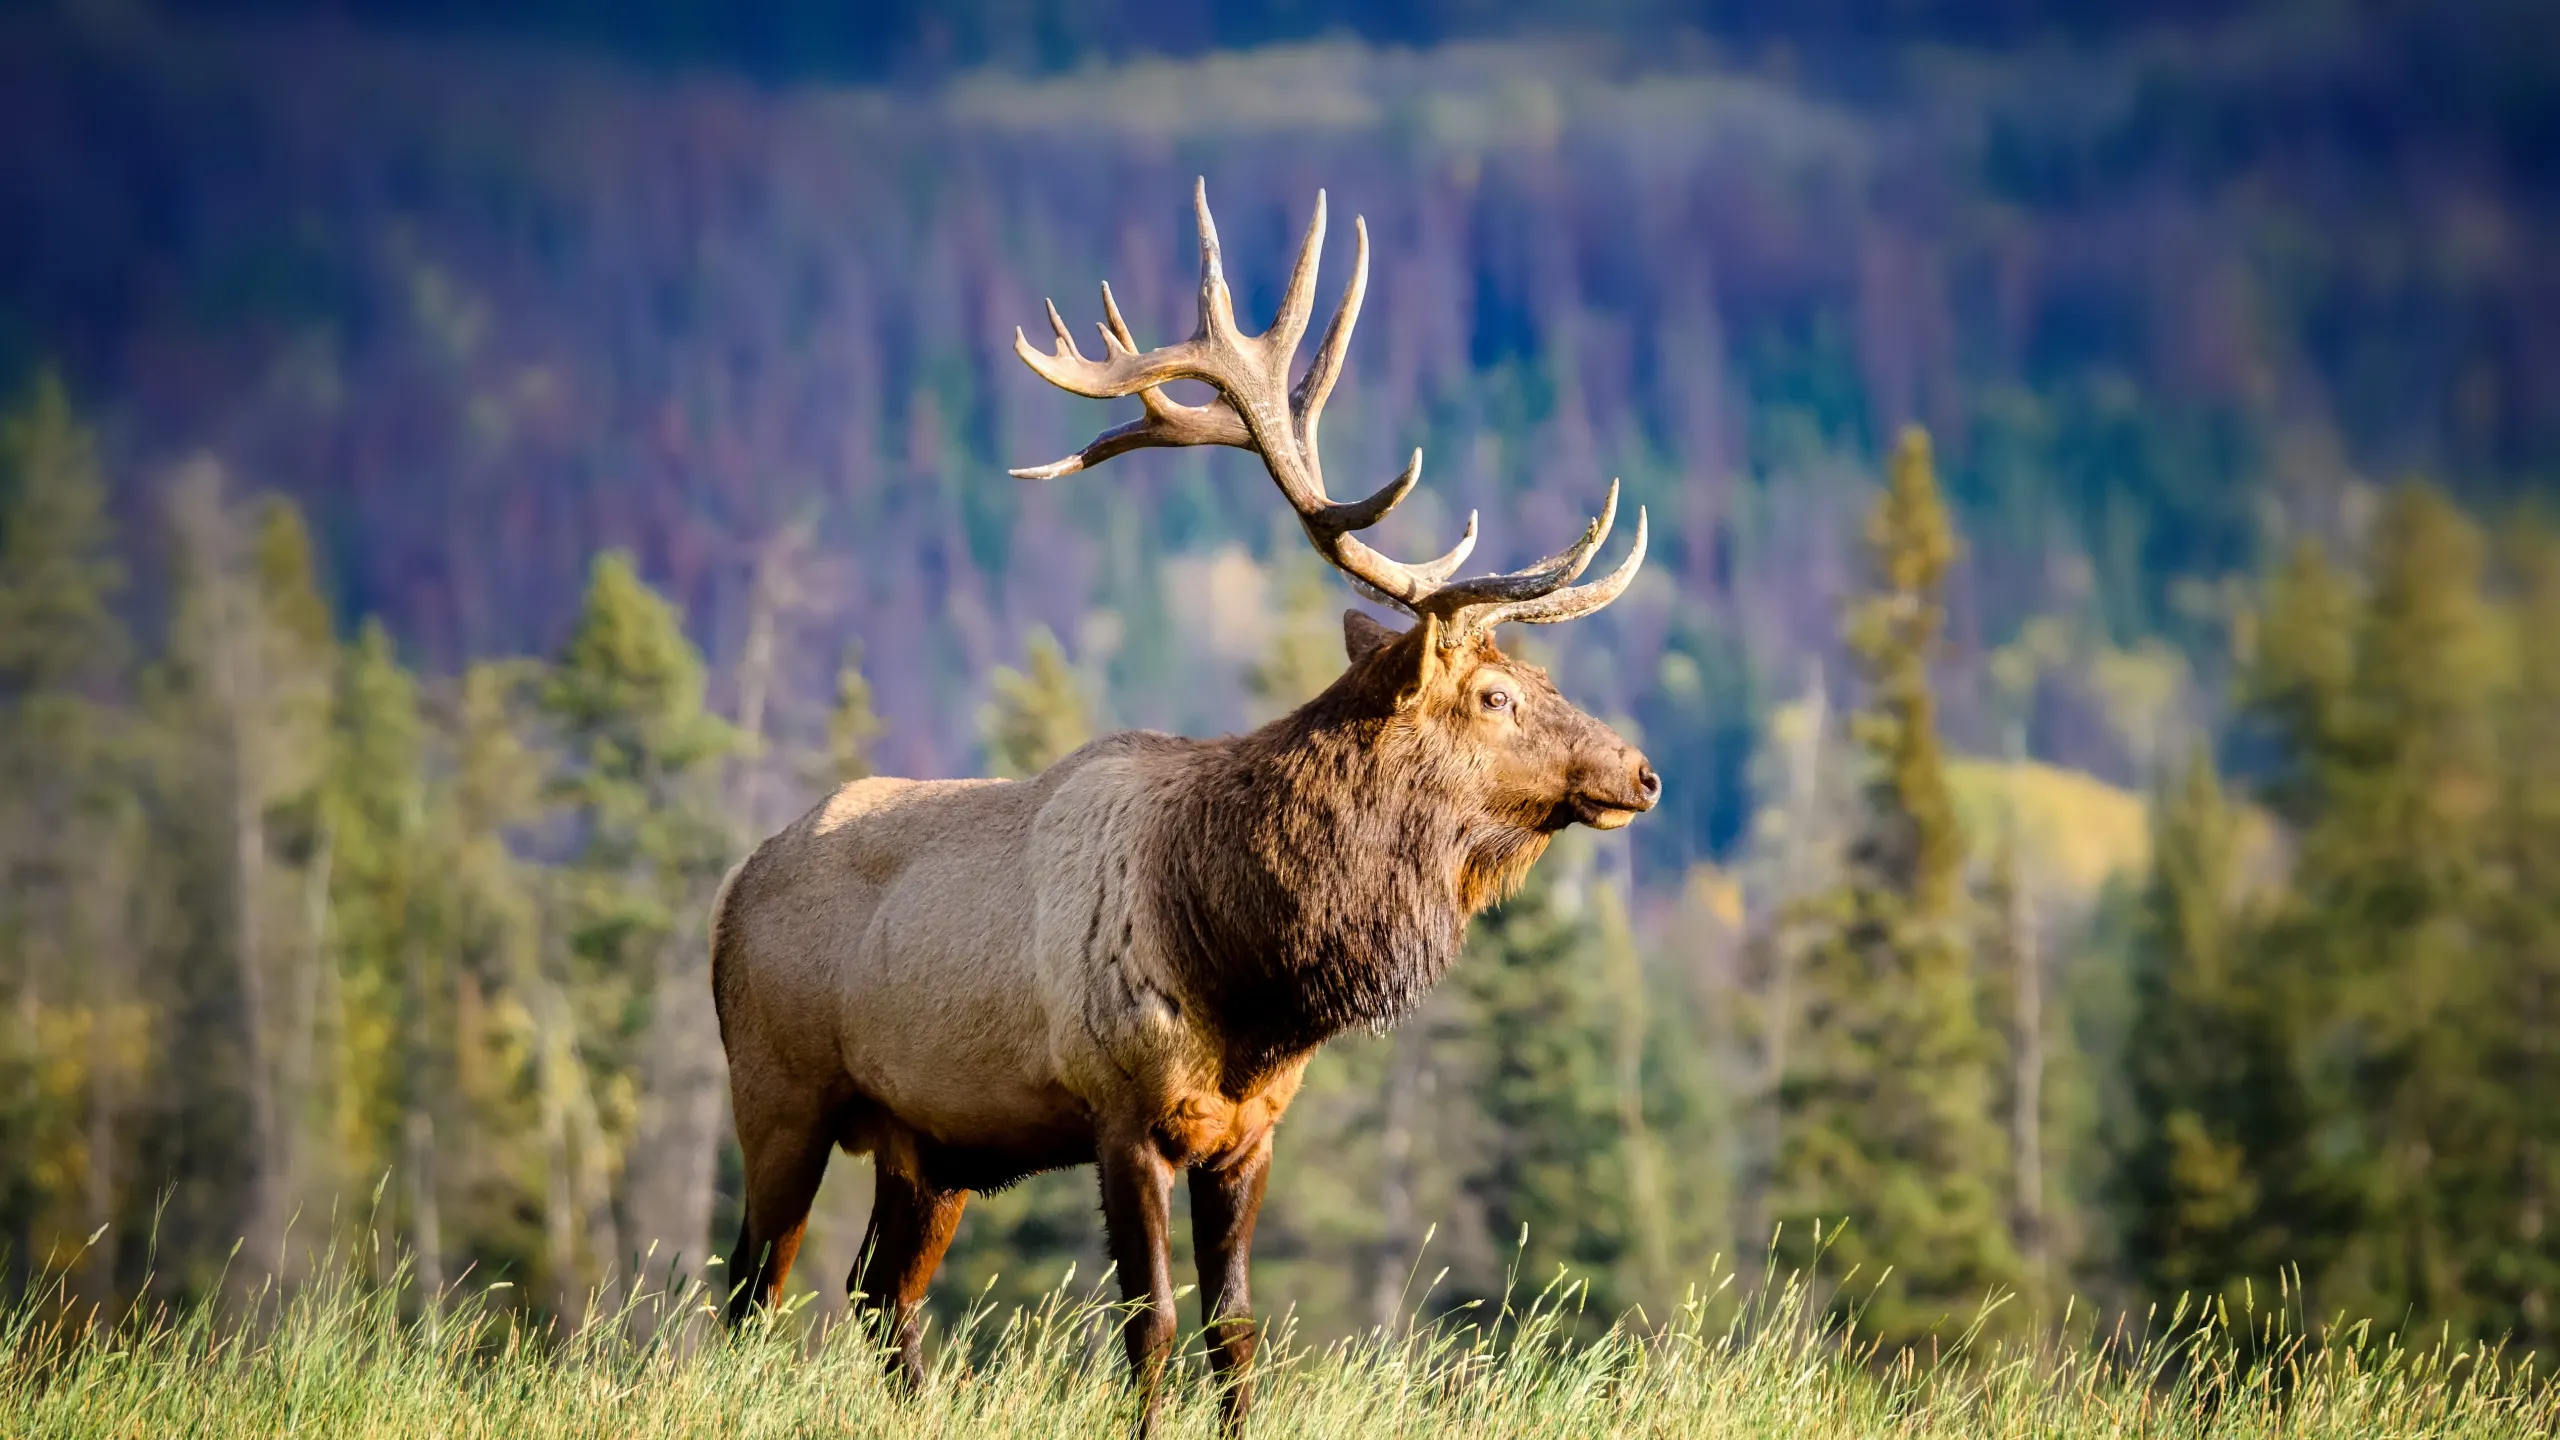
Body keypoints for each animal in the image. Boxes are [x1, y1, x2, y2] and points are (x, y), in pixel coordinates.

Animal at [710, 179, 1658, 1434]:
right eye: (1497, 694)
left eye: (1542, 677)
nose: (1640, 772)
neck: (1243, 969)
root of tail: (730, 892)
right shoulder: (1119, 1111)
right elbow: (1148, 1325)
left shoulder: (1246, 1134)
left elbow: (1235, 1331)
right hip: (776, 1089)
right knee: (746, 1292)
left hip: (929, 1143)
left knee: (879, 1293)